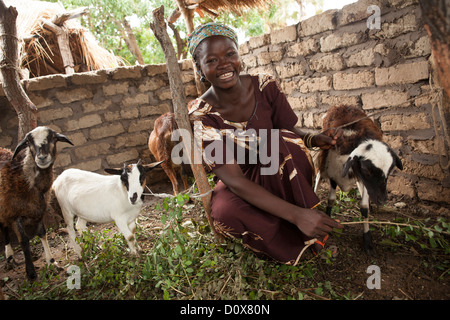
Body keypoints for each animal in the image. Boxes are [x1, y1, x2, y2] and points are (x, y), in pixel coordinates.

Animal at [0, 126, 73, 278]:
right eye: (28, 142)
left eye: (53, 138)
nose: (42, 158)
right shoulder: (13, 215)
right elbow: (24, 240)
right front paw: (31, 273)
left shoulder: (39, 210)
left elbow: (42, 233)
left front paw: (52, 262)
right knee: (3, 228)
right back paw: (9, 256)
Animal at [316, 105, 404, 255]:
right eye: (367, 170)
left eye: (390, 170)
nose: (382, 200)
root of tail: (343, 106)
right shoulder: (331, 174)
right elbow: (330, 199)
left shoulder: (365, 183)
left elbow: (364, 208)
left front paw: (367, 241)